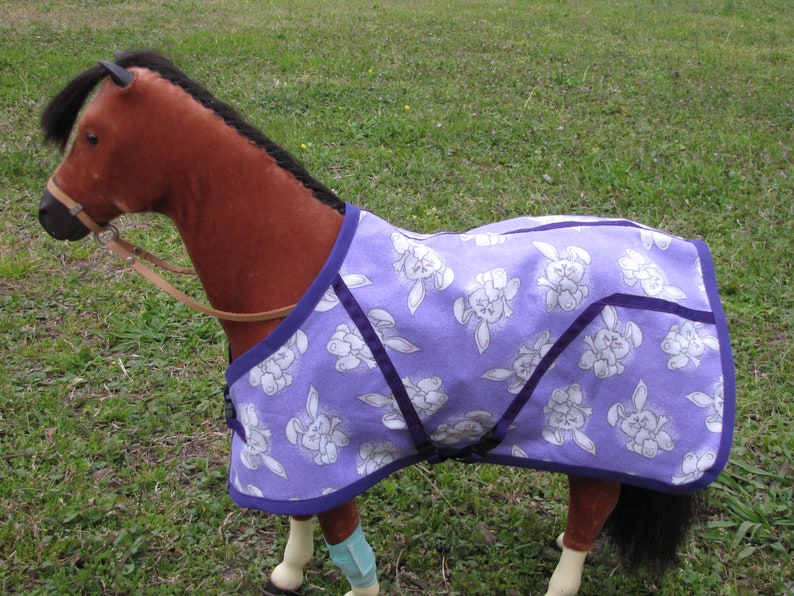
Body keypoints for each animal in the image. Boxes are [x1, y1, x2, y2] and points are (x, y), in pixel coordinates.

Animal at [38, 51, 735, 595]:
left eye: (93, 135)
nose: (49, 213)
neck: (293, 273)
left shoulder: (325, 447)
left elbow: (349, 550)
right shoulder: (293, 458)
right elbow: (299, 520)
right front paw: (287, 574)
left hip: (601, 439)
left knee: (588, 520)